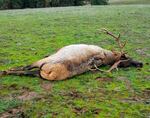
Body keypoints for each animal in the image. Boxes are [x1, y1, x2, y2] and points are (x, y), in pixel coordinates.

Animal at [0, 28, 143, 80]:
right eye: (127, 58)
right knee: (27, 71)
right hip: (40, 69)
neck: (106, 53)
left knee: (25, 69)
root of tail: (52, 73)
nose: (141, 63)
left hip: (42, 63)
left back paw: (5, 71)